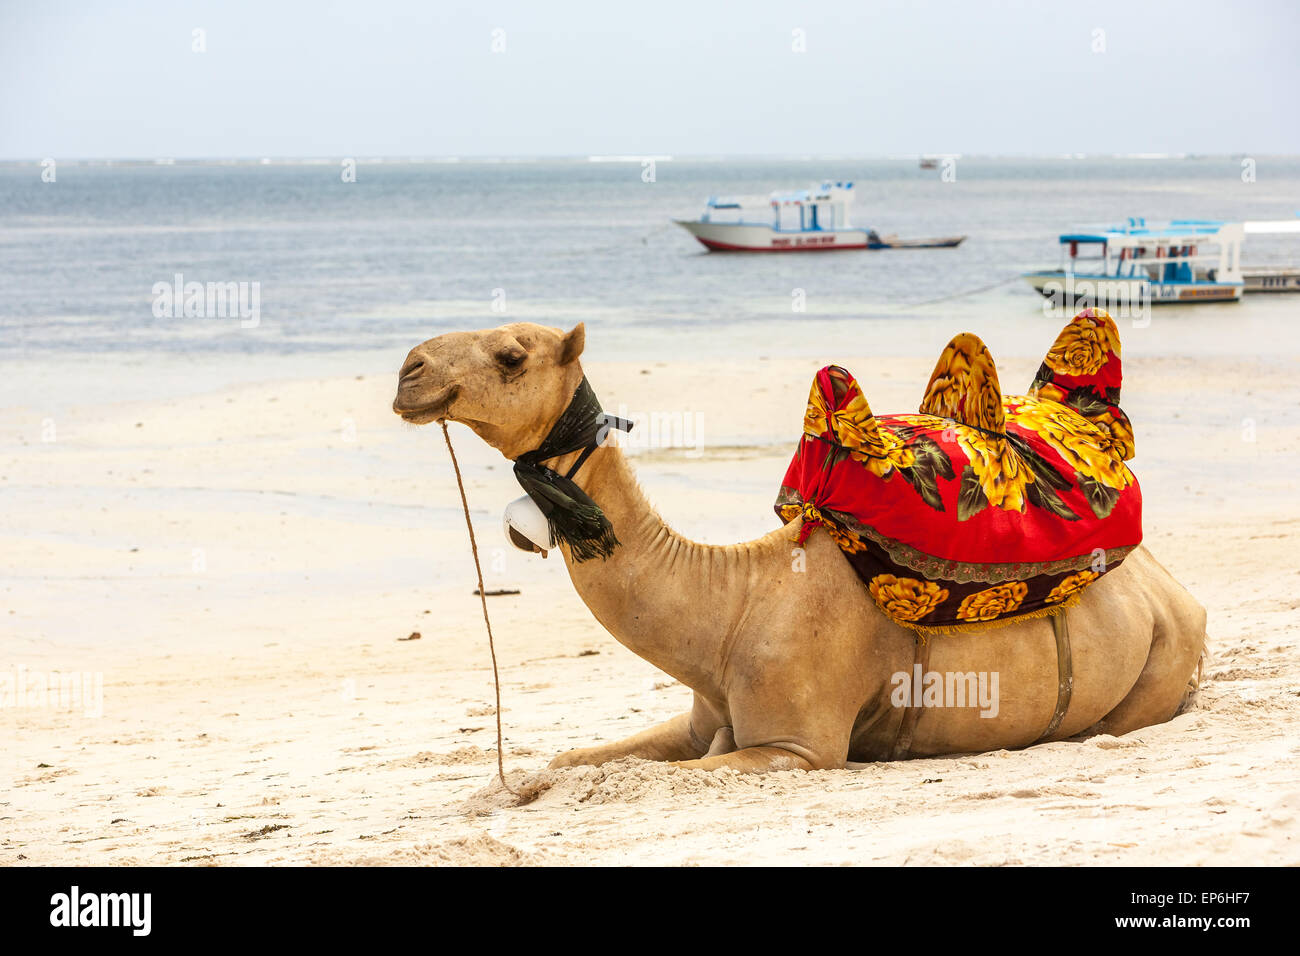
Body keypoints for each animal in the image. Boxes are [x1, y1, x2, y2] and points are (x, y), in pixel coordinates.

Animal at [393, 321, 1206, 773]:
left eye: (510, 356)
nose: (409, 371)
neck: (729, 606)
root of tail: (1179, 592)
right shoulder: (702, 721)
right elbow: (568, 763)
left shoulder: (797, 747)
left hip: (1161, 665)